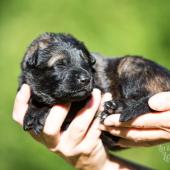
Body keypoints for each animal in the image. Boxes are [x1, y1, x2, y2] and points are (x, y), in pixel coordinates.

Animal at [18, 32, 170, 149]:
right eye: (60, 64)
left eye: (85, 62)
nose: (86, 79)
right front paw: (34, 109)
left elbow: (70, 105)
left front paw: (39, 113)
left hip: (129, 64)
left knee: (146, 97)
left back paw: (117, 107)